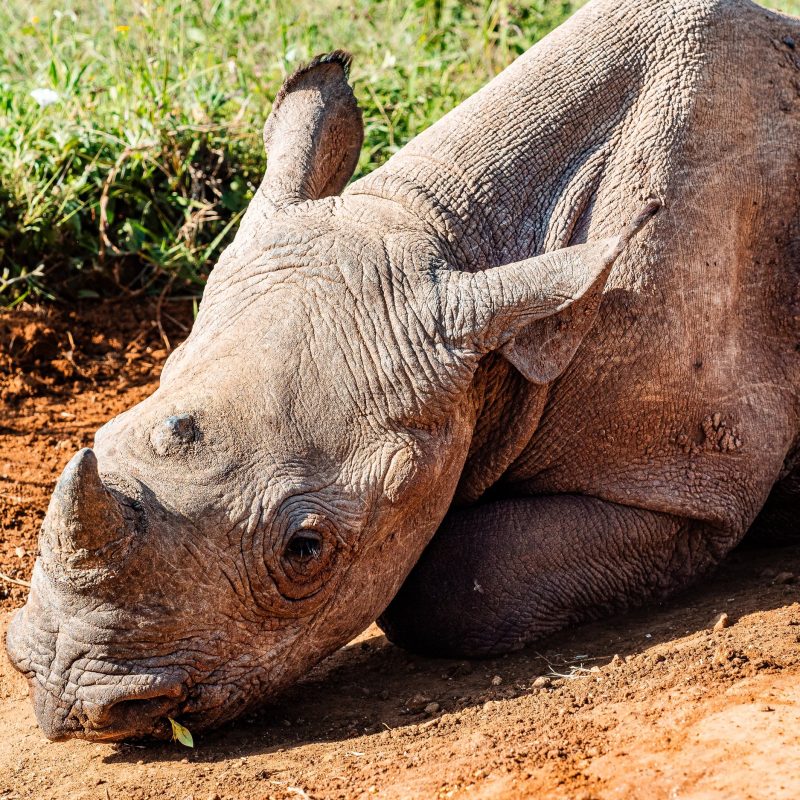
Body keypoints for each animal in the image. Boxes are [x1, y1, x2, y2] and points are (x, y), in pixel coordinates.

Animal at [7, 0, 800, 740]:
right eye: (106, 438)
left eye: (305, 550)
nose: (72, 700)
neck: (457, 240)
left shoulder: (681, 484)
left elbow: (455, 583)